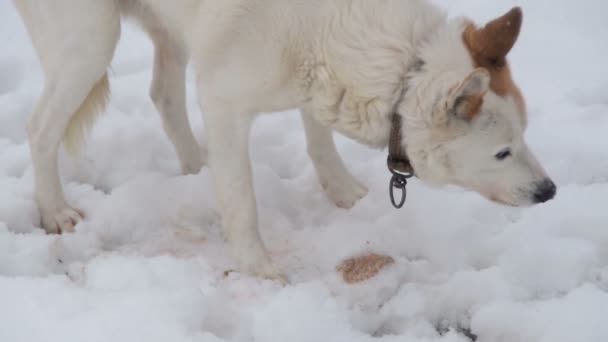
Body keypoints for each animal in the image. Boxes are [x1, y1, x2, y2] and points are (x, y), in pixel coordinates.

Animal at [13, 1, 556, 282]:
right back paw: (54, 210)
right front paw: (257, 265)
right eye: (502, 152)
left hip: (169, 37)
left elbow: (320, 142)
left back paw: (197, 164)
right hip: (90, 43)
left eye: (524, 136)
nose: (549, 192)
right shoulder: (224, 100)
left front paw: (343, 193)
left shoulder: (316, 89)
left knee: (163, 96)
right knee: (40, 128)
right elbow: (241, 200)